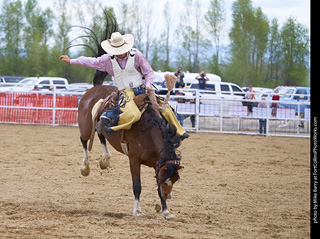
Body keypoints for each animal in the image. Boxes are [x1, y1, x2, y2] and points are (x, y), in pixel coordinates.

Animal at [77, 85, 182, 220]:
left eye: (174, 180)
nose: (169, 196)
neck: (148, 129)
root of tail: (94, 88)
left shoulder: (157, 164)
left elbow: (158, 189)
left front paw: (166, 212)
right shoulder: (134, 160)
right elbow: (137, 186)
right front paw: (137, 211)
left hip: (100, 128)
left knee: (101, 134)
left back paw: (105, 161)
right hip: (86, 128)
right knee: (84, 140)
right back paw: (85, 167)